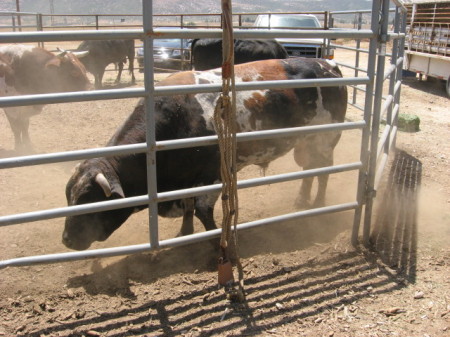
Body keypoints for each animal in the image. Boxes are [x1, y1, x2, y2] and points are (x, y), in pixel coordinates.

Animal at [61, 57, 346, 249]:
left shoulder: (213, 175)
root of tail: (328, 64)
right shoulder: (187, 179)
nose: (66, 240)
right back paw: (302, 200)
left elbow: (202, 210)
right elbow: (189, 207)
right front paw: (185, 232)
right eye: (70, 198)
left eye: (90, 201)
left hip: (325, 139)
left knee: (323, 172)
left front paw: (217, 243)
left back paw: (318, 204)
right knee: (309, 170)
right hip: (308, 143)